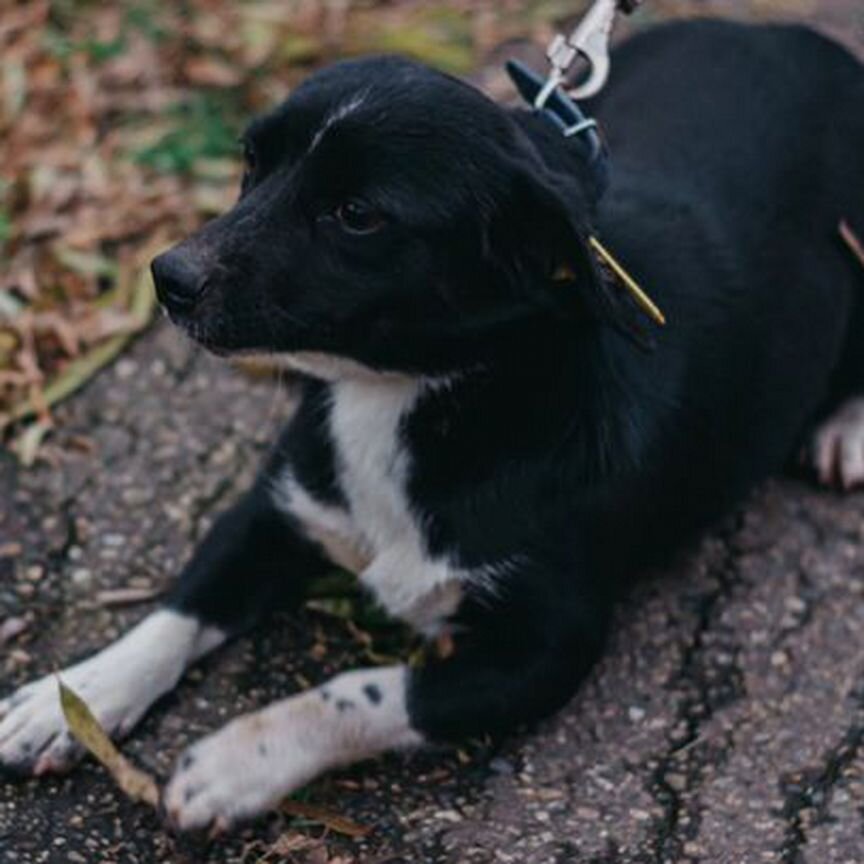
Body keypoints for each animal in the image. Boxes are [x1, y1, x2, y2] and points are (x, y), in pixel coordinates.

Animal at [1, 18, 864, 832]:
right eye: (252, 160)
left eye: (356, 215)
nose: (169, 277)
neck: (397, 394)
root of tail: (796, 36)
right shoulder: (274, 509)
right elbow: (179, 610)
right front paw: (74, 697)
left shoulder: (546, 649)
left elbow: (368, 689)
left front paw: (237, 762)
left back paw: (843, 429)